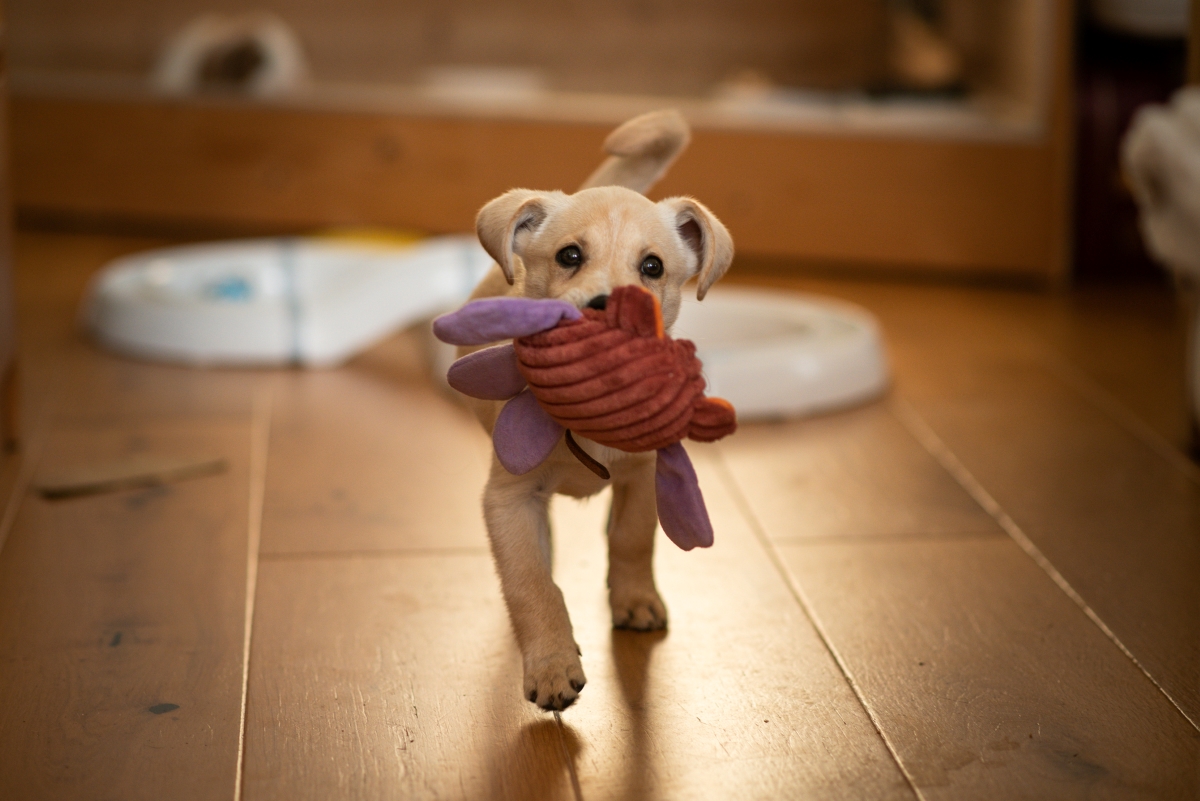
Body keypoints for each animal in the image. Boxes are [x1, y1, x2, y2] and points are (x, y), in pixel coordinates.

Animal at [463, 109, 734, 709]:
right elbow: (532, 583)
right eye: (570, 256)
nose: (608, 306)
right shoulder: (509, 498)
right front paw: (551, 664)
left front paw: (633, 599)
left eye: (652, 267)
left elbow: (632, 540)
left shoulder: (646, 475)